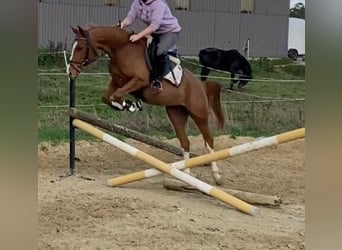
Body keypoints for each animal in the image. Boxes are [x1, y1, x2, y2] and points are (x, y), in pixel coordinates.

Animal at [68, 25, 226, 184]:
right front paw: (127, 105)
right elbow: (107, 97)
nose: (70, 72)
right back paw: (187, 175)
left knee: (208, 141)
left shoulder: (138, 81)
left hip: (199, 114)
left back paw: (217, 177)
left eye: (80, 47)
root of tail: (201, 85)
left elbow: (117, 95)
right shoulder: (117, 82)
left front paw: (131, 106)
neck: (121, 49)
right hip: (176, 113)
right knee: (185, 142)